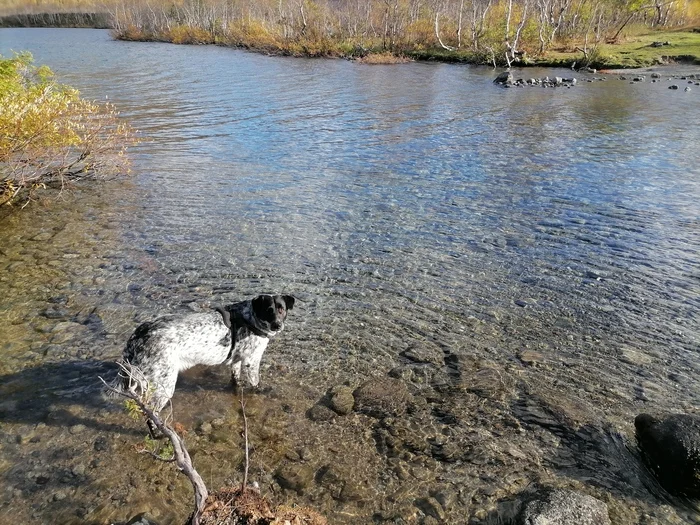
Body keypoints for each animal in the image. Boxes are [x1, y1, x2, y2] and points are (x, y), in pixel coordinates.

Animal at [110, 292, 296, 420]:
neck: (249, 318)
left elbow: (235, 380)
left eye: (281, 309)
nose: (277, 325)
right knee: (151, 413)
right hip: (164, 384)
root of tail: (139, 333)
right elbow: (255, 384)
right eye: (268, 311)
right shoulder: (251, 361)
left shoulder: (236, 361)